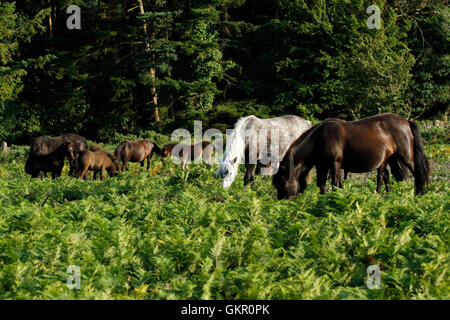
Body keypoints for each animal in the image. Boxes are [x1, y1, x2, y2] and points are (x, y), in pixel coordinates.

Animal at [272, 112, 430, 198]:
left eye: (282, 181)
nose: (281, 200)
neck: (319, 139)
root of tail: (406, 121)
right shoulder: (322, 165)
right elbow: (322, 184)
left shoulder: (334, 164)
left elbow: (335, 183)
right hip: (392, 159)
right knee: (392, 177)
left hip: (406, 156)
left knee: (417, 173)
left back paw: (419, 194)